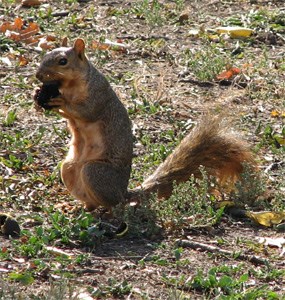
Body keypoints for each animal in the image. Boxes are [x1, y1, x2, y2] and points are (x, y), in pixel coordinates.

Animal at [34, 38, 254, 211]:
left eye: (63, 61)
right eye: (45, 56)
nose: (38, 76)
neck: (69, 86)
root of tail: (123, 192)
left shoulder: (99, 95)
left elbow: (86, 111)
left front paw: (59, 101)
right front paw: (38, 98)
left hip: (95, 173)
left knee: (112, 204)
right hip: (68, 168)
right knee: (91, 201)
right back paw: (75, 207)